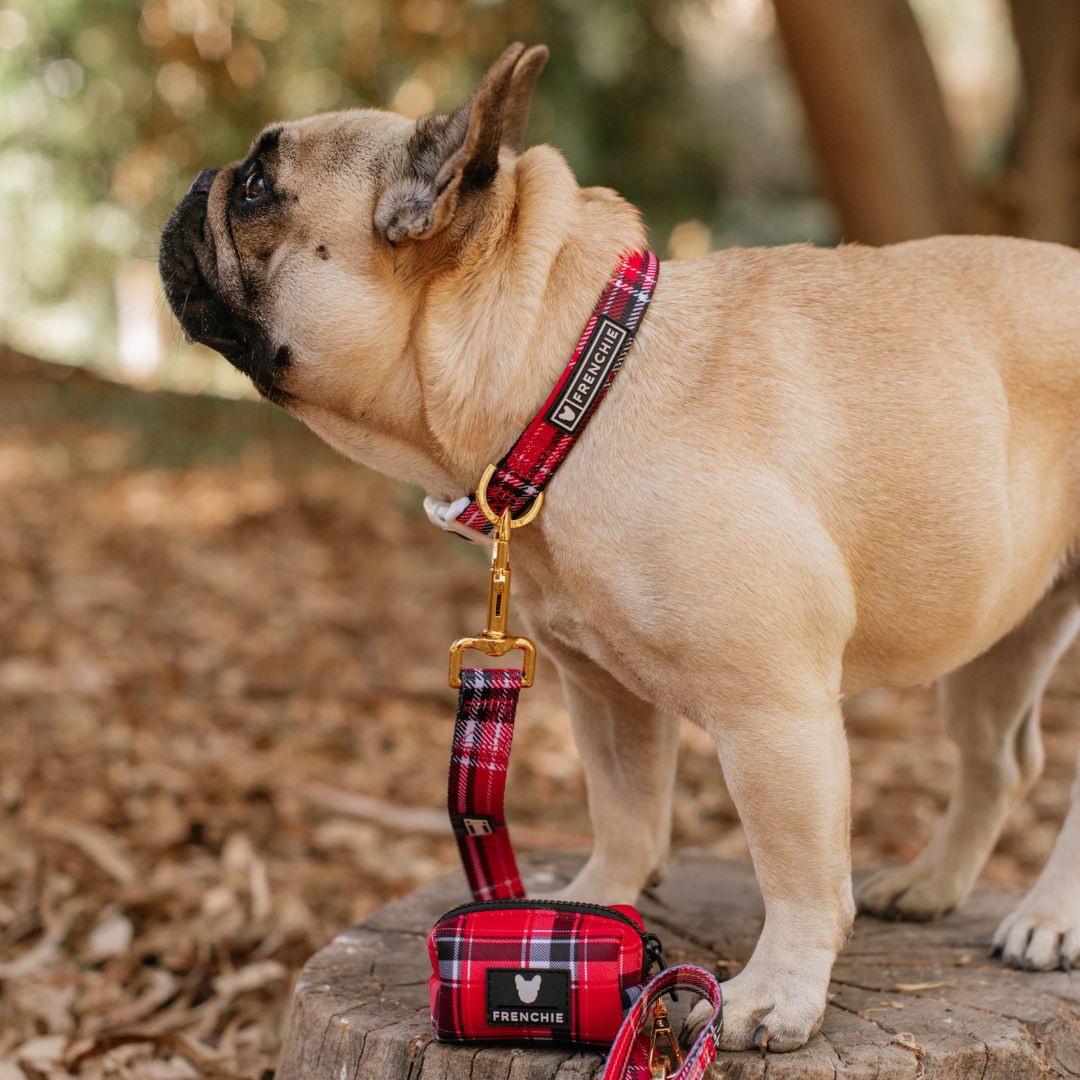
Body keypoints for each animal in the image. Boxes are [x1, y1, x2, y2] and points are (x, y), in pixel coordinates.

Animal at [154, 44, 1080, 1054]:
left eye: (255, 187)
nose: (195, 183)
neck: (572, 381)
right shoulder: (604, 691)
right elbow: (626, 807)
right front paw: (591, 907)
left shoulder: (773, 713)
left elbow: (794, 867)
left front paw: (775, 993)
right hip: (997, 628)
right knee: (1000, 759)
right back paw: (930, 884)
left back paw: (1048, 919)